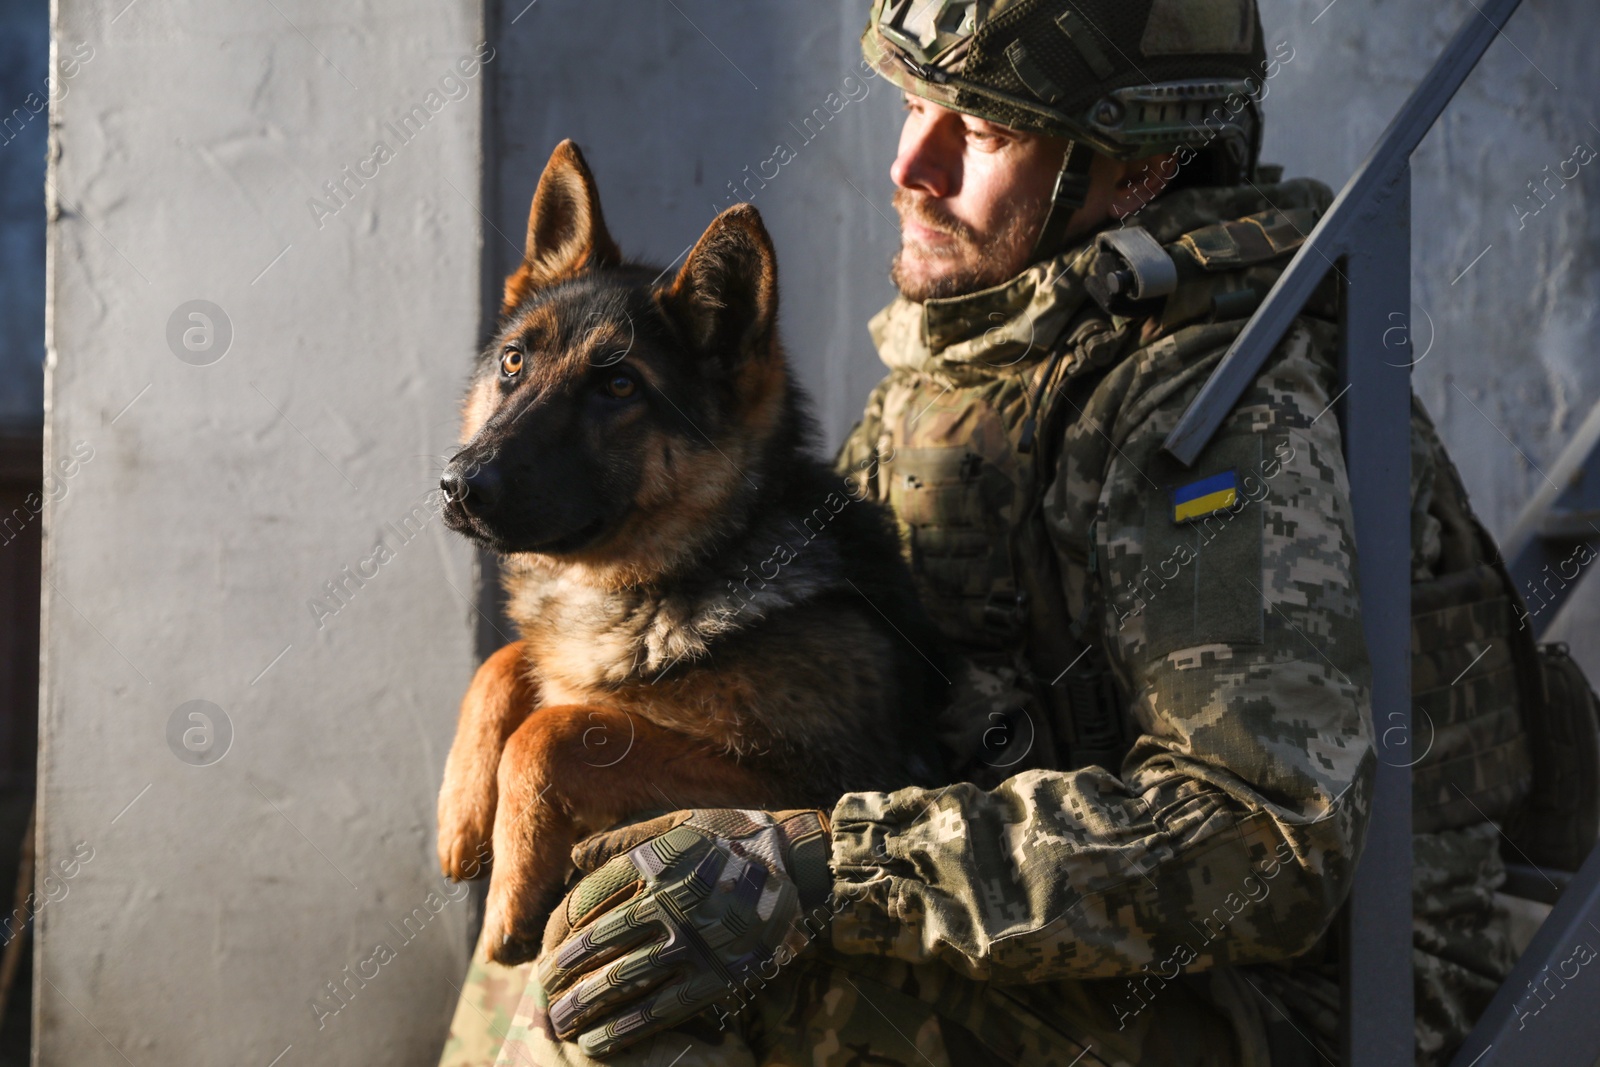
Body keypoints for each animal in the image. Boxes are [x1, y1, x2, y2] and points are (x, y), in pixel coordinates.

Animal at [432, 141, 940, 966]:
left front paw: (511, 888)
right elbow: (510, 661)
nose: (459, 486)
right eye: (512, 362)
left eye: (617, 384)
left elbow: (557, 729)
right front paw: (464, 809)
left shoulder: (820, 784)